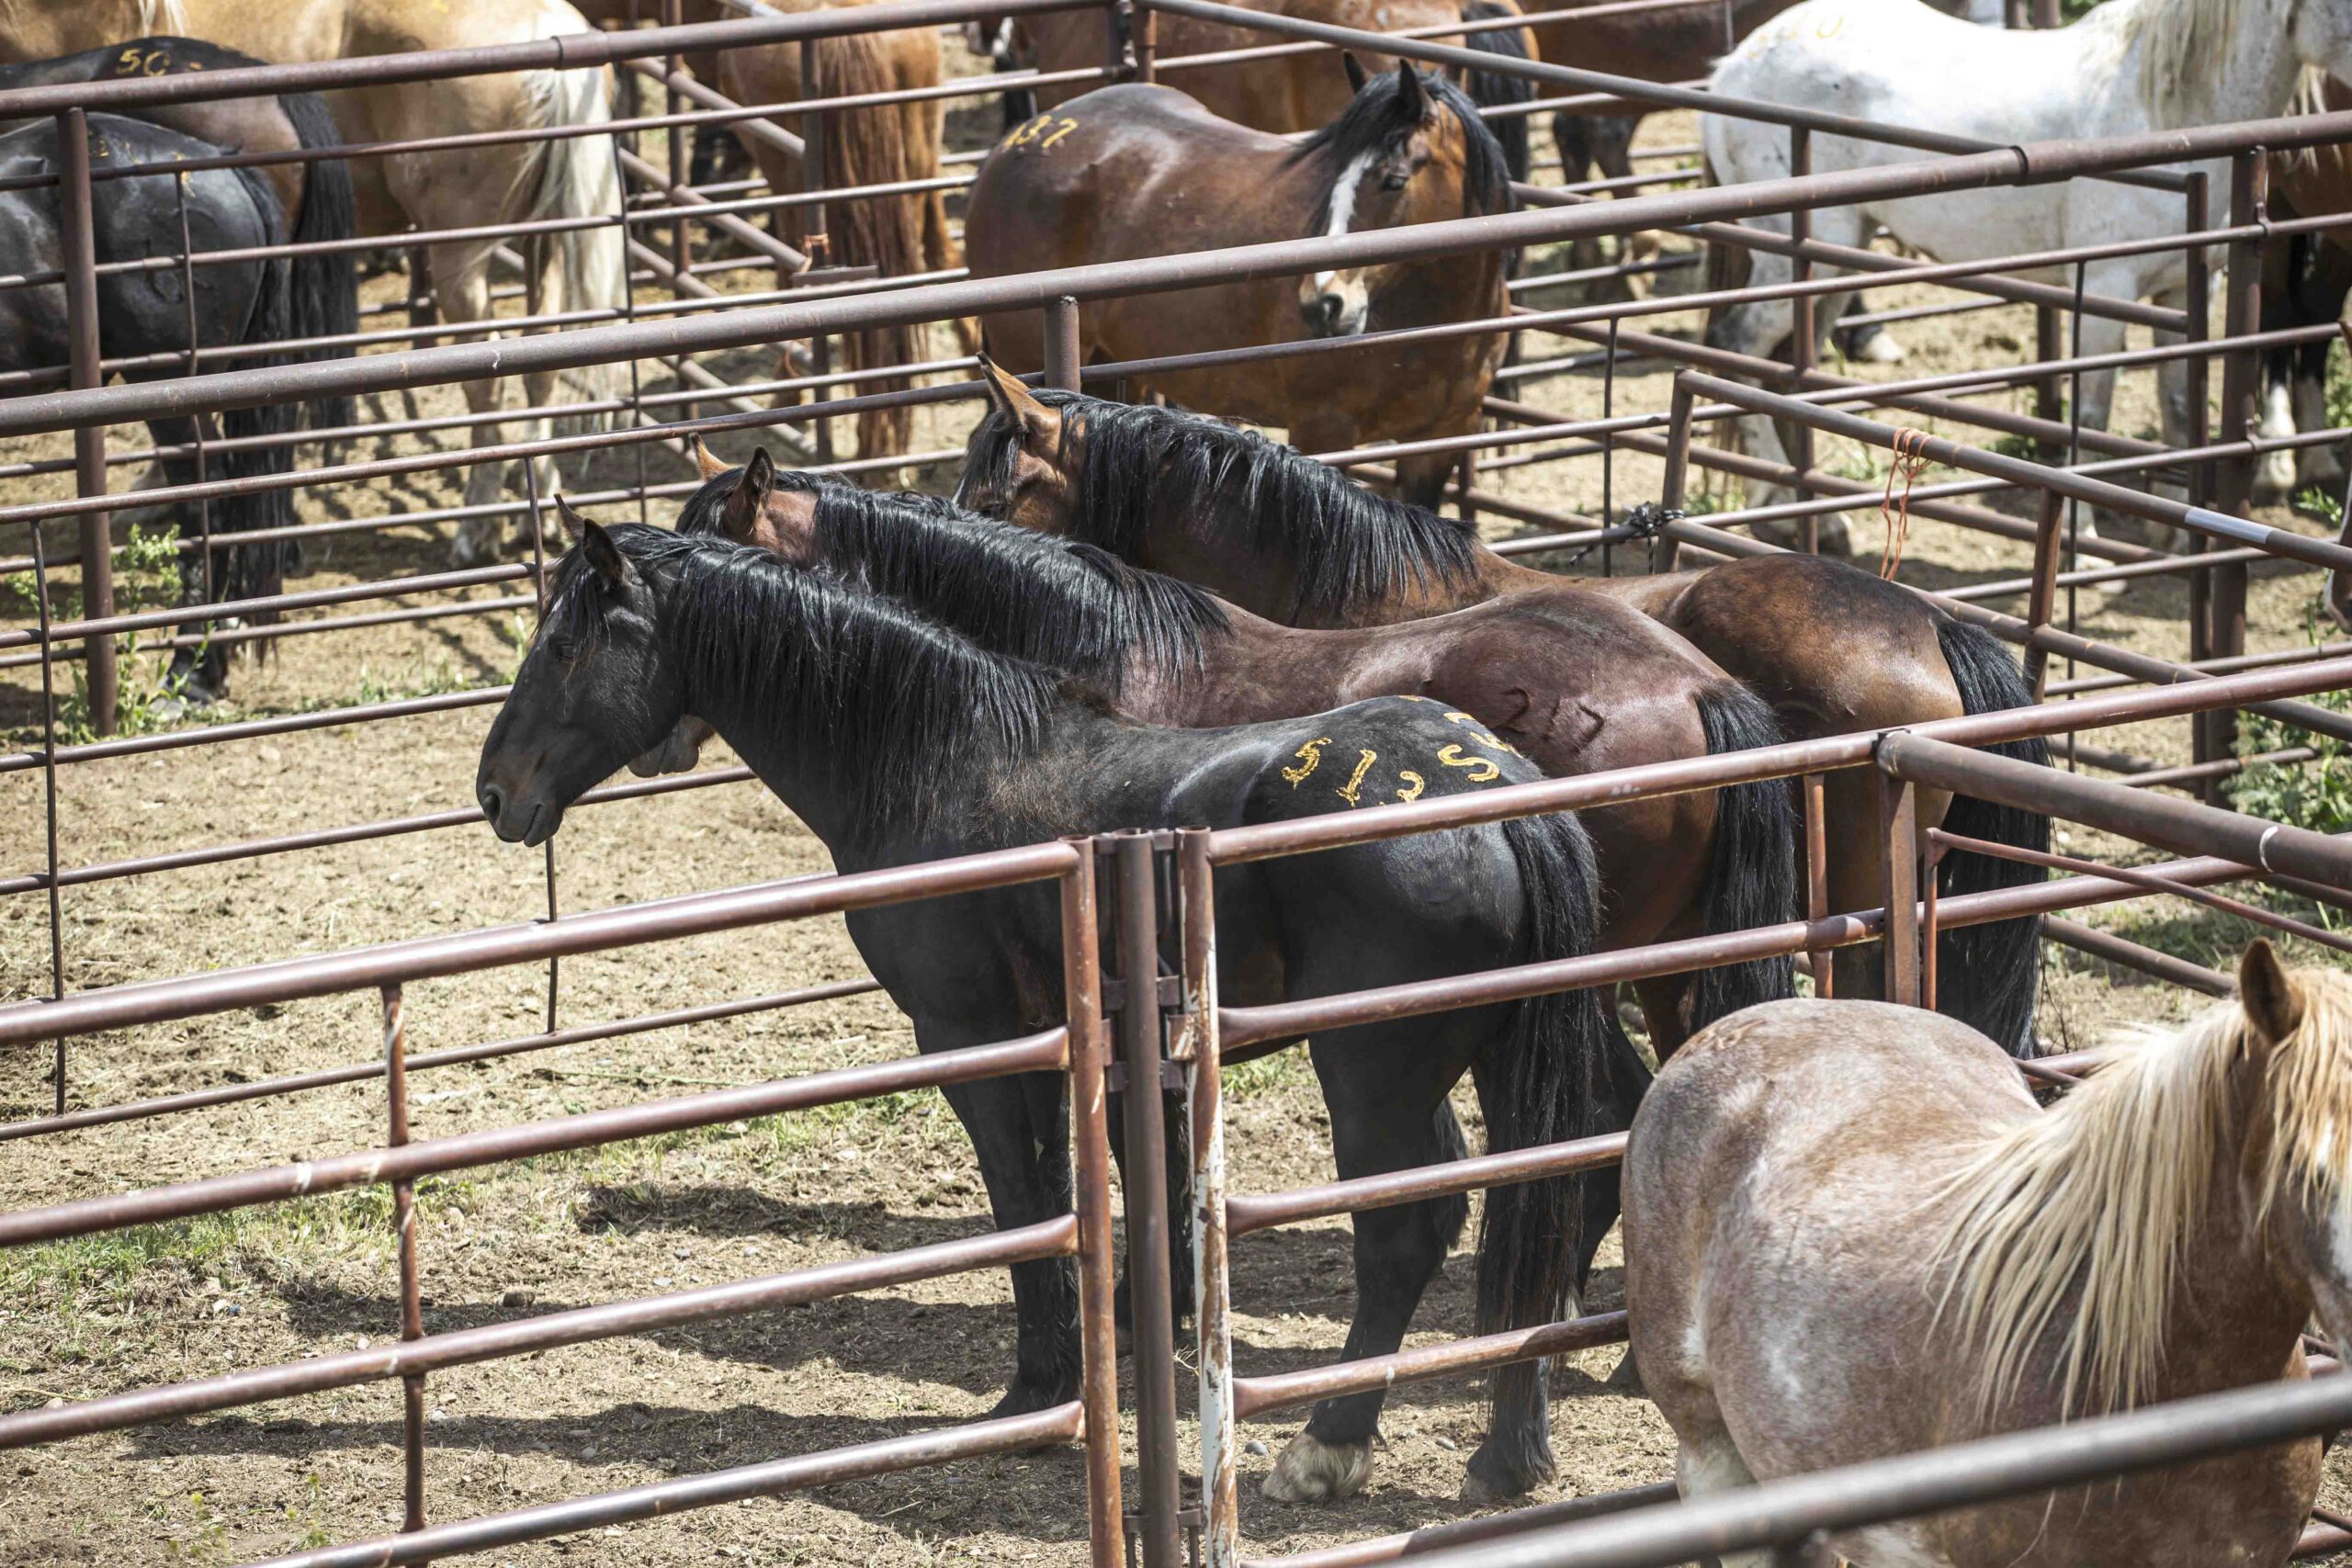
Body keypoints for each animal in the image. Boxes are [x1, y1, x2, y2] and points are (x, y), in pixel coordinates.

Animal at [0, 0, 630, 569]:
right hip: (543, 240)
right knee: (542, 361)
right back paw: (538, 511)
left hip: (459, 252)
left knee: (487, 380)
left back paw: (476, 529)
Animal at [477, 516, 1648, 1505]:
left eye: (568, 645)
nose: (496, 790)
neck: (938, 755)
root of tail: (1498, 793)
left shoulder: (971, 1041)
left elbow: (1024, 1204)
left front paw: (1040, 1391)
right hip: (1501, 1054)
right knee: (1538, 1206)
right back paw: (1506, 1457)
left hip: (1373, 1073)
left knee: (1408, 1231)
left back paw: (1328, 1447)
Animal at [964, 62, 1515, 509]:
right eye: (1332, 177)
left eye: (1394, 180)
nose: (1321, 304)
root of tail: (1019, 140)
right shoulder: (1324, 428)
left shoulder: (1446, 437)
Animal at [1699, 0, 2352, 526]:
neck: (2166, 112)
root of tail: (1732, 66)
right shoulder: (2108, 291)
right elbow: (2090, 415)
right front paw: (2086, 547)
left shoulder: (2187, 290)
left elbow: (2179, 409)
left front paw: (2166, 531)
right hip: (1794, 262)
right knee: (1736, 348)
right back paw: (1785, 507)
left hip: (1831, 267)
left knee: (1786, 369)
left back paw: (1814, 521)